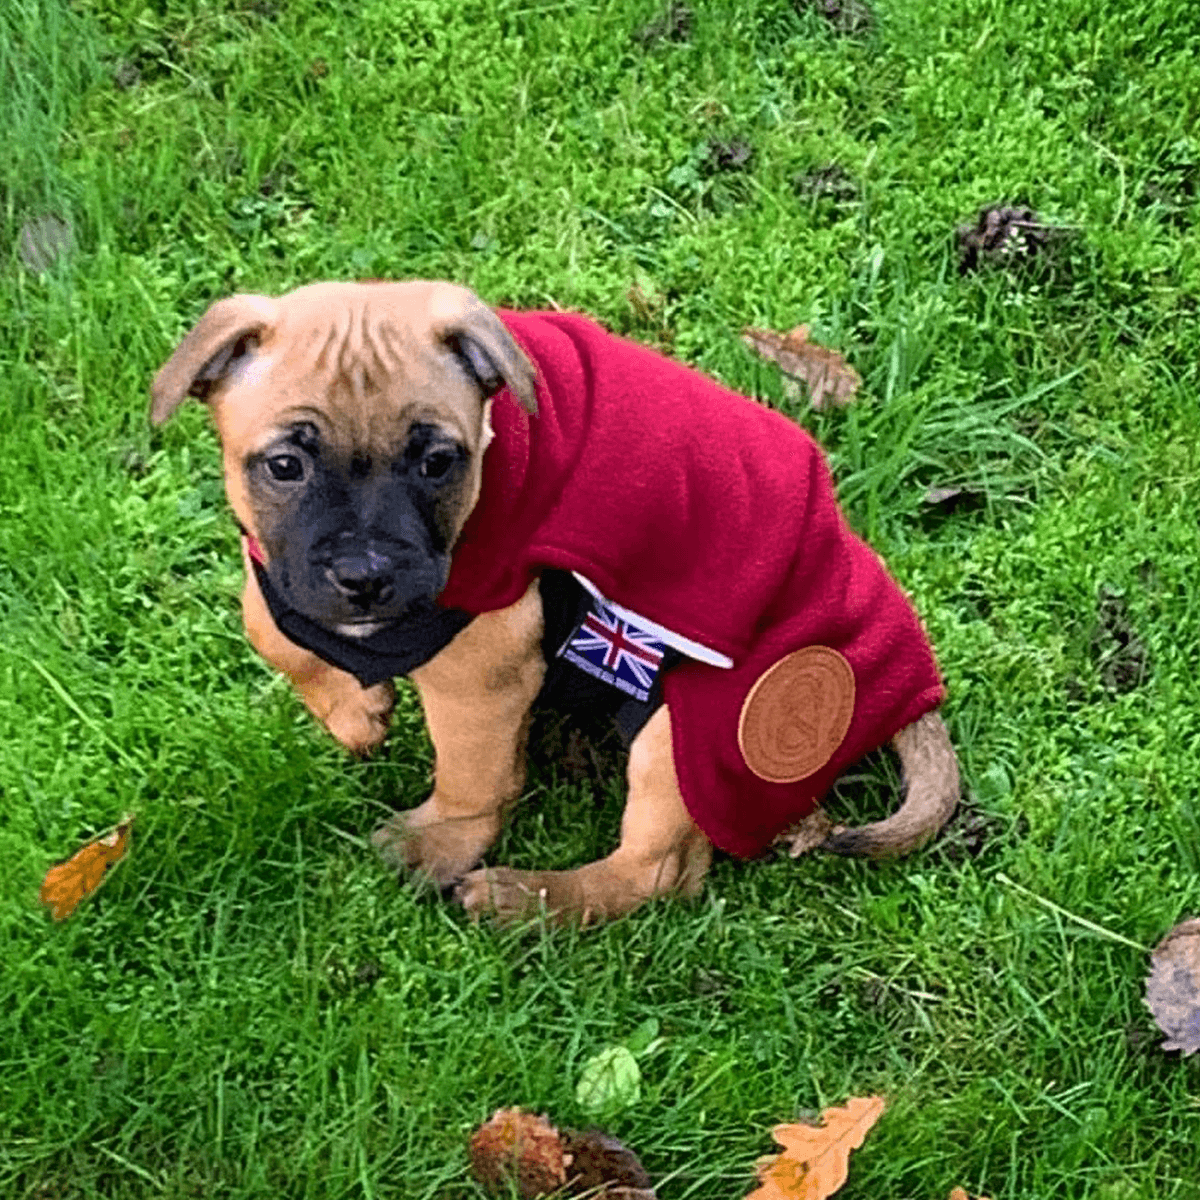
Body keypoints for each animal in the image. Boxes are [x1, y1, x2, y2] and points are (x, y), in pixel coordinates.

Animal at [150, 278, 960, 916]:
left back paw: (526, 900)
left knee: (656, 872)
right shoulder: (284, 568)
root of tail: (905, 682)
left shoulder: (482, 663)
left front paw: (439, 841)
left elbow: (471, 774)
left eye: (437, 462)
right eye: (285, 466)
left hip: (697, 732)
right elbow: (266, 618)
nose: (365, 573)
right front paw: (354, 711)